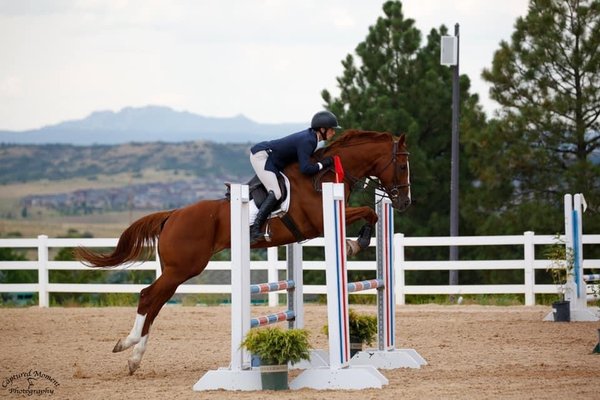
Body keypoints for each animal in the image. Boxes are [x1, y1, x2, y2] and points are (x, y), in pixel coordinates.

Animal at [75, 130, 410, 374]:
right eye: (403, 165)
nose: (404, 201)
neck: (323, 177)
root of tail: (173, 214)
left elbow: (372, 213)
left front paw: (355, 242)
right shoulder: (320, 221)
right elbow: (370, 211)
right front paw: (356, 243)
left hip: (178, 270)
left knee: (156, 301)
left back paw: (134, 357)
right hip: (183, 268)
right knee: (149, 297)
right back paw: (128, 345)